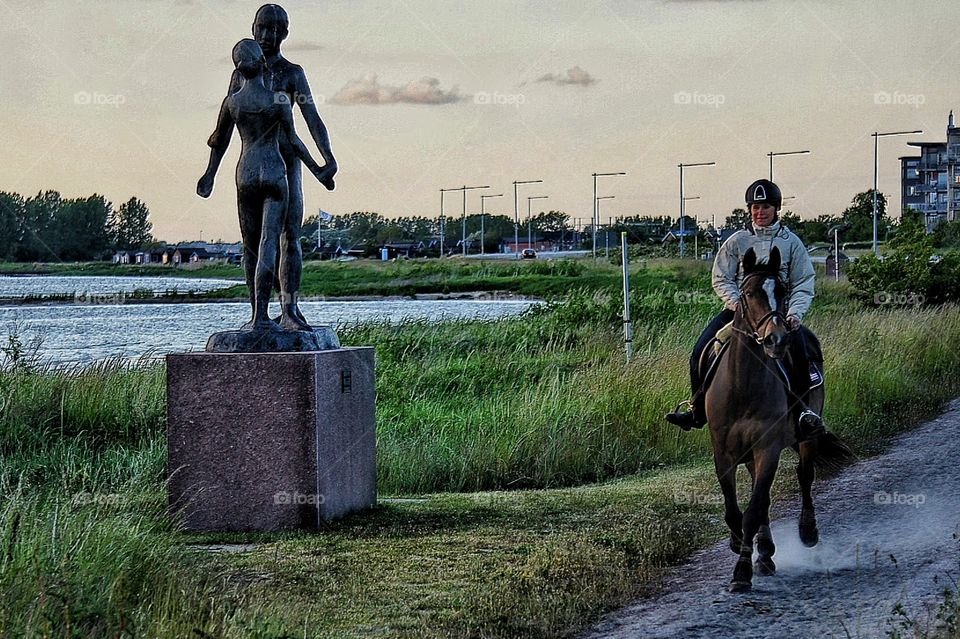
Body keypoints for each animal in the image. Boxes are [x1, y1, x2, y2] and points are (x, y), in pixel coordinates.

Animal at [704, 246, 856, 596]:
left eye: (783, 291)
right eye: (748, 293)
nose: (776, 339)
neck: (742, 386)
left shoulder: (768, 448)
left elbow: (753, 509)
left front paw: (742, 572)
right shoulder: (723, 452)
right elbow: (735, 508)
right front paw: (740, 546)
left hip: (806, 436)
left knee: (804, 476)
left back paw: (806, 534)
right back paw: (765, 554)